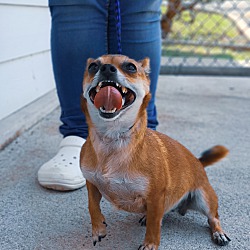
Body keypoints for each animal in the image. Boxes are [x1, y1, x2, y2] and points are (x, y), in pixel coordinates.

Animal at [80, 54, 230, 248]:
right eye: (92, 66)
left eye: (131, 67)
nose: (106, 68)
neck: (112, 138)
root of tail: (198, 161)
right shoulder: (91, 183)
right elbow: (92, 206)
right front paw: (98, 229)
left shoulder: (156, 196)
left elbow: (154, 224)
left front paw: (150, 244)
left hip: (205, 198)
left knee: (213, 218)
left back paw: (219, 233)